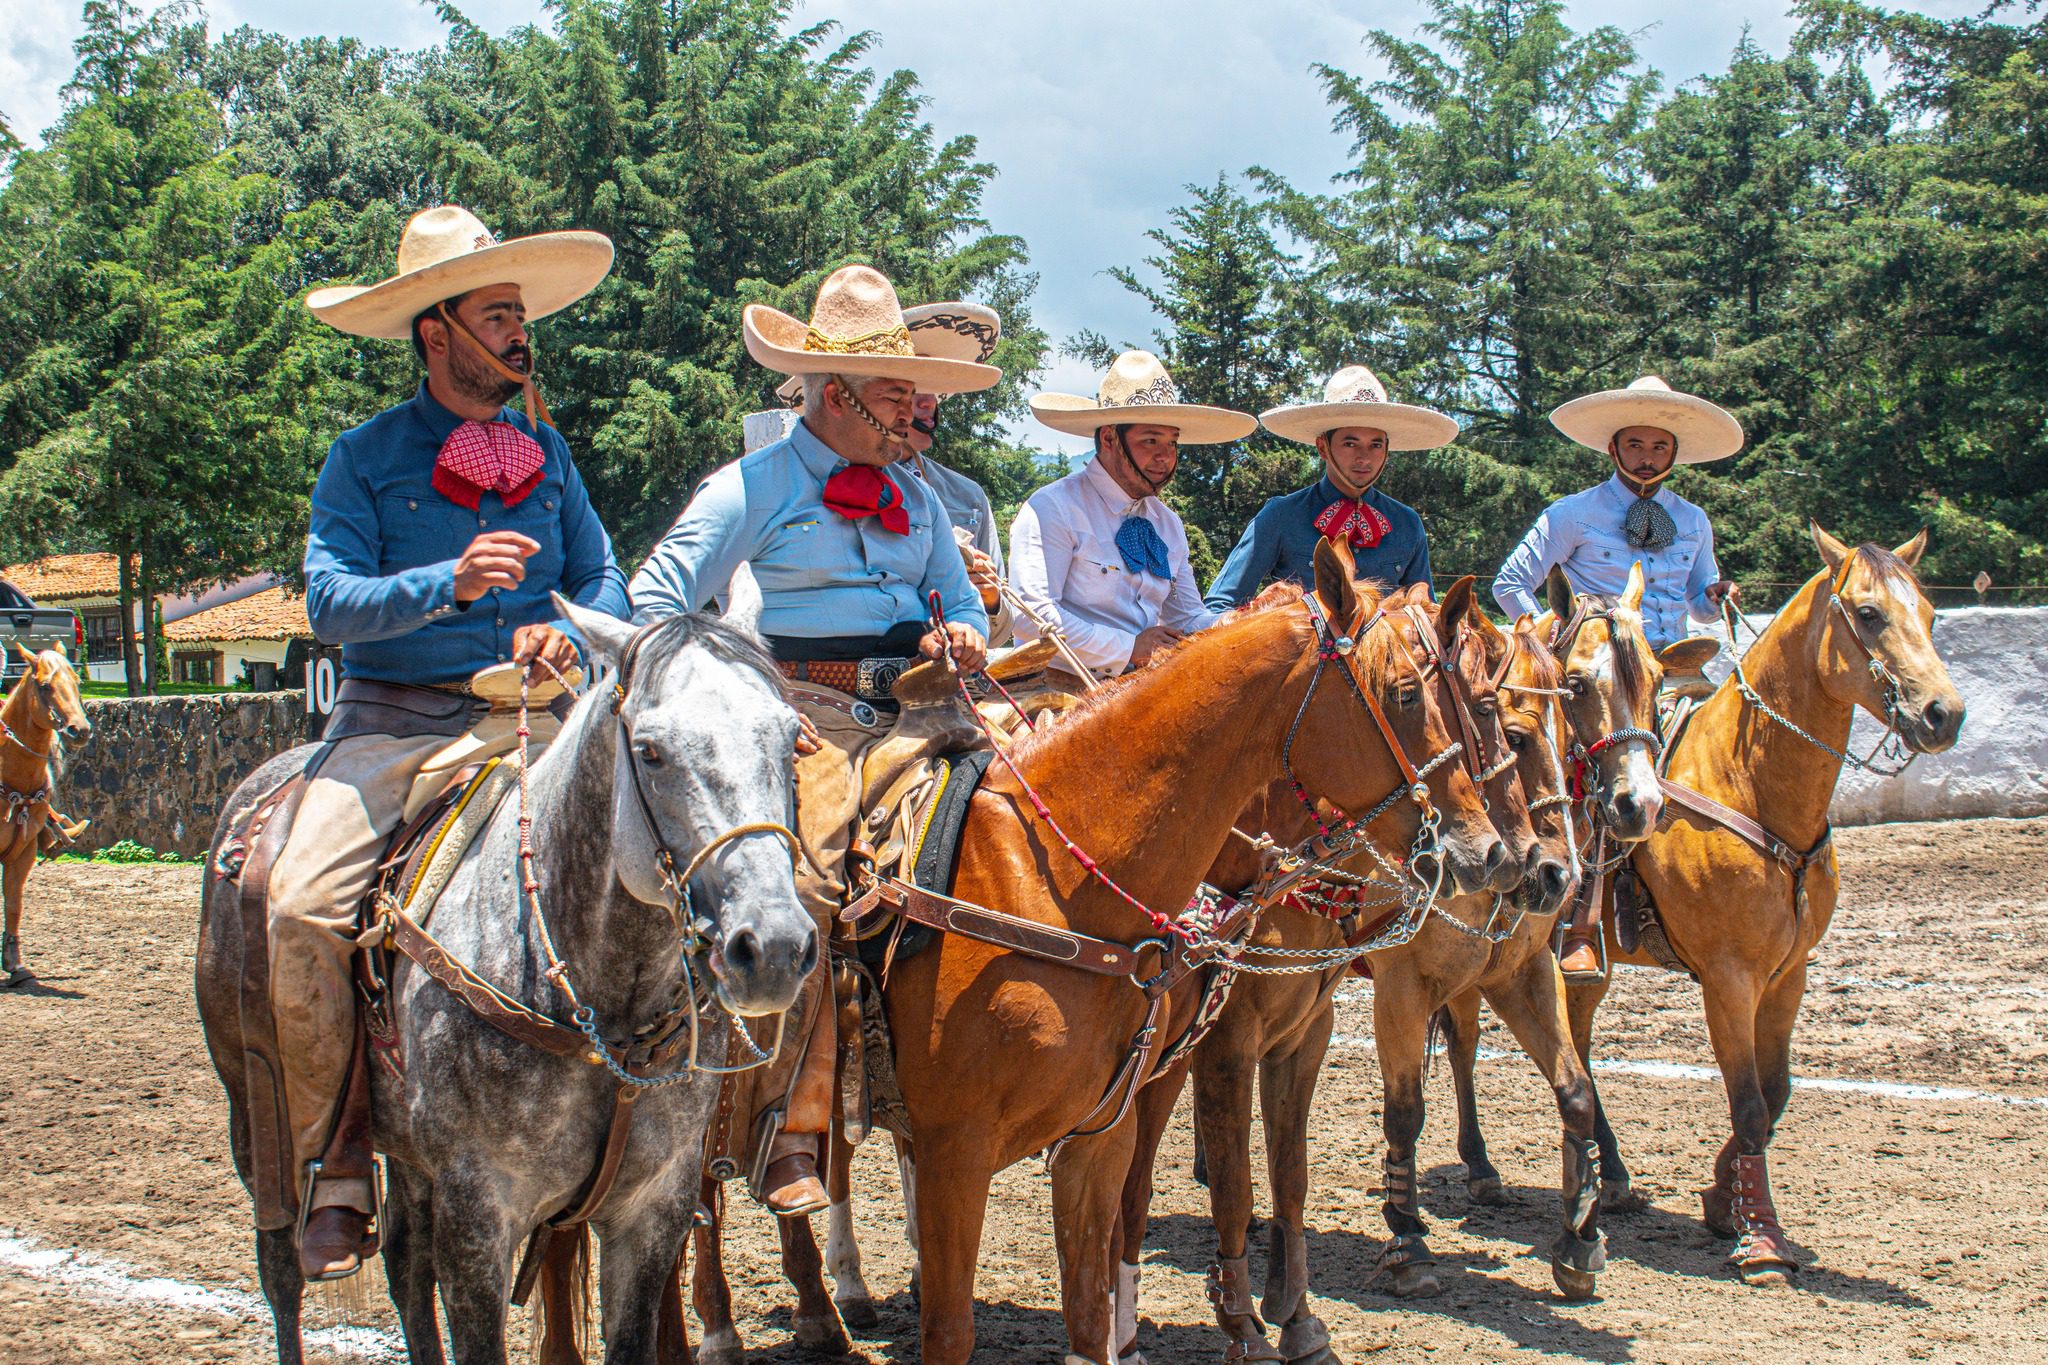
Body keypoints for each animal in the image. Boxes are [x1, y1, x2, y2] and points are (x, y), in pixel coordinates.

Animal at [197, 597, 815, 1365]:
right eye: (650, 750)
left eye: (789, 740)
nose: (774, 946)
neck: (604, 1016)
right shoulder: (479, 1214)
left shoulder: (650, 1210)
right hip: (257, 1116)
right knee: (281, 1264)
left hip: (409, 1158)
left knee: (405, 1265)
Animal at [1449, 527, 1957, 1293]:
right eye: (1868, 614)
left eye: (1927, 612)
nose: (1943, 713)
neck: (1751, 785)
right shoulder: (1728, 976)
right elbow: (1747, 1100)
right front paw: (1762, 1238)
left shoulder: (1788, 973)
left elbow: (1774, 1093)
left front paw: (1724, 1199)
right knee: (1462, 1038)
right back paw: (1481, 1168)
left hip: (1583, 959)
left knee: (1579, 1047)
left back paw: (1612, 1177)